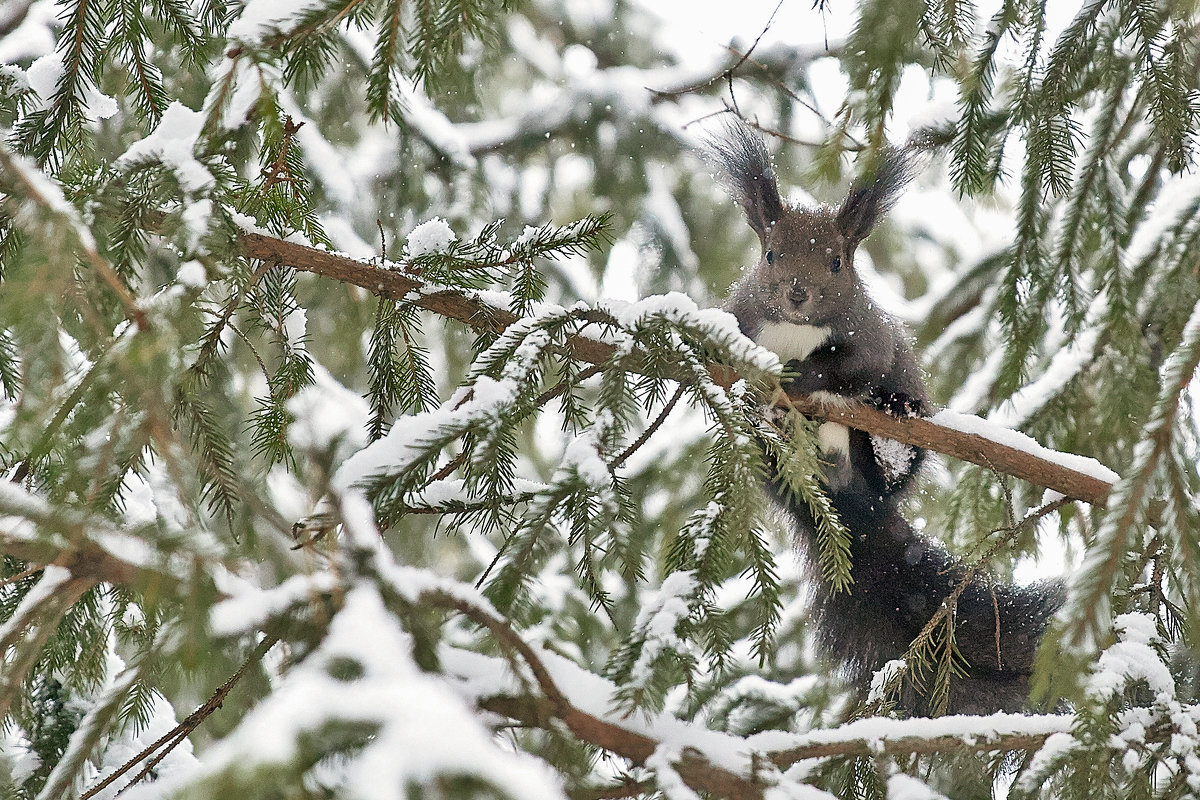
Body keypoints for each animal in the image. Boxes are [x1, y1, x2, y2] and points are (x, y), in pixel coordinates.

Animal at [705, 122, 1065, 714]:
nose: (797, 294)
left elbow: (850, 365)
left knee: (893, 471)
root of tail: (848, 496)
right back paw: (773, 423)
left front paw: (805, 373)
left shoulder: (872, 339)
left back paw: (891, 440)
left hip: (893, 428)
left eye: (837, 262)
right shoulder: (743, 317)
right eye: (770, 254)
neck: (795, 331)